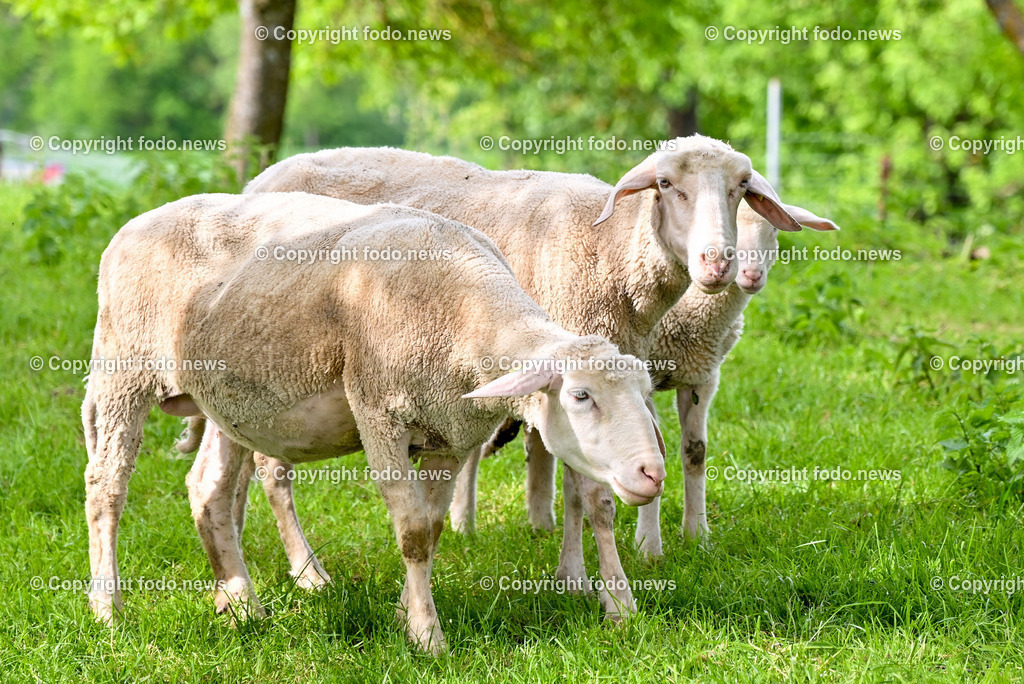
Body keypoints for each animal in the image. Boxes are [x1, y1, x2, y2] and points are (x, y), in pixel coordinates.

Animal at [82, 191, 668, 654]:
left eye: (644, 393)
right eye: (580, 395)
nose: (653, 473)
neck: (466, 313)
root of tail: (138, 222)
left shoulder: (448, 434)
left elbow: (432, 528)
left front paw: (406, 615)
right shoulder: (380, 412)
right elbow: (412, 532)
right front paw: (429, 637)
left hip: (227, 401)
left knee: (209, 489)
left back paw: (243, 604)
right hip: (122, 370)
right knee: (105, 487)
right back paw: (108, 609)